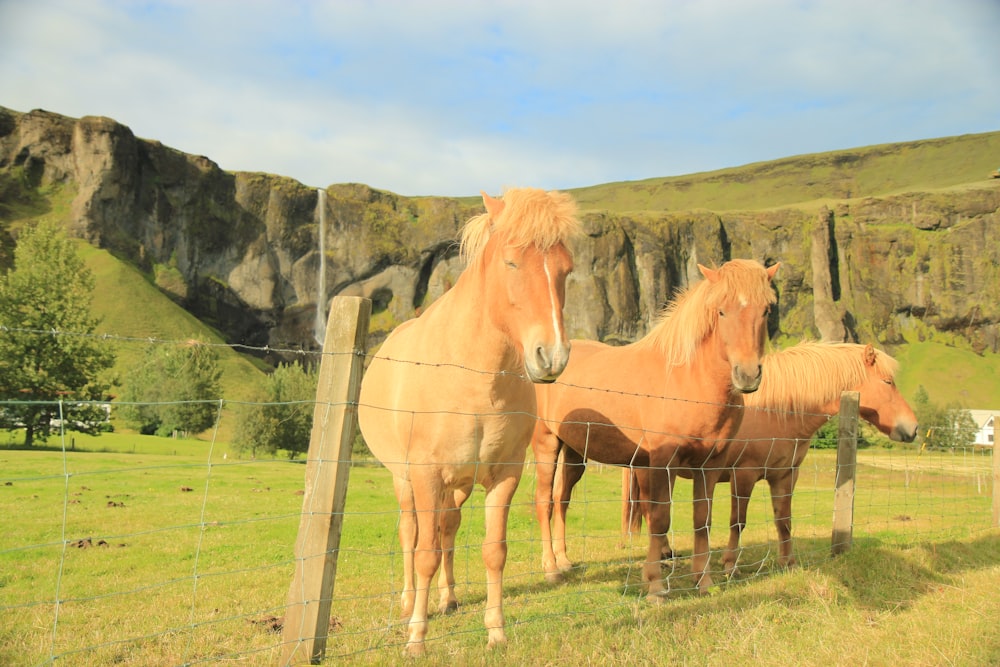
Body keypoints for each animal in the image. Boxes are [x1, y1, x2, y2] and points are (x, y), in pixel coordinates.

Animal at [358, 185, 580, 656]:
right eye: (511, 262)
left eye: (566, 270)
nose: (552, 357)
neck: (472, 378)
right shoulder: (425, 475)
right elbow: (423, 552)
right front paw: (417, 638)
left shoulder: (504, 475)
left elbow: (493, 551)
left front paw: (496, 631)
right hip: (405, 480)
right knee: (412, 533)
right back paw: (410, 603)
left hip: (456, 486)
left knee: (447, 528)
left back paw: (449, 598)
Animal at [532, 258, 780, 596]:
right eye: (721, 311)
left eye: (766, 310)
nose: (748, 375)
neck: (686, 379)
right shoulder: (663, 462)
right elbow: (659, 518)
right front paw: (655, 586)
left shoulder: (709, 465)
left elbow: (702, 519)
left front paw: (703, 581)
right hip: (547, 443)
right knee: (544, 501)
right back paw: (551, 569)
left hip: (574, 452)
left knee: (562, 499)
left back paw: (564, 560)